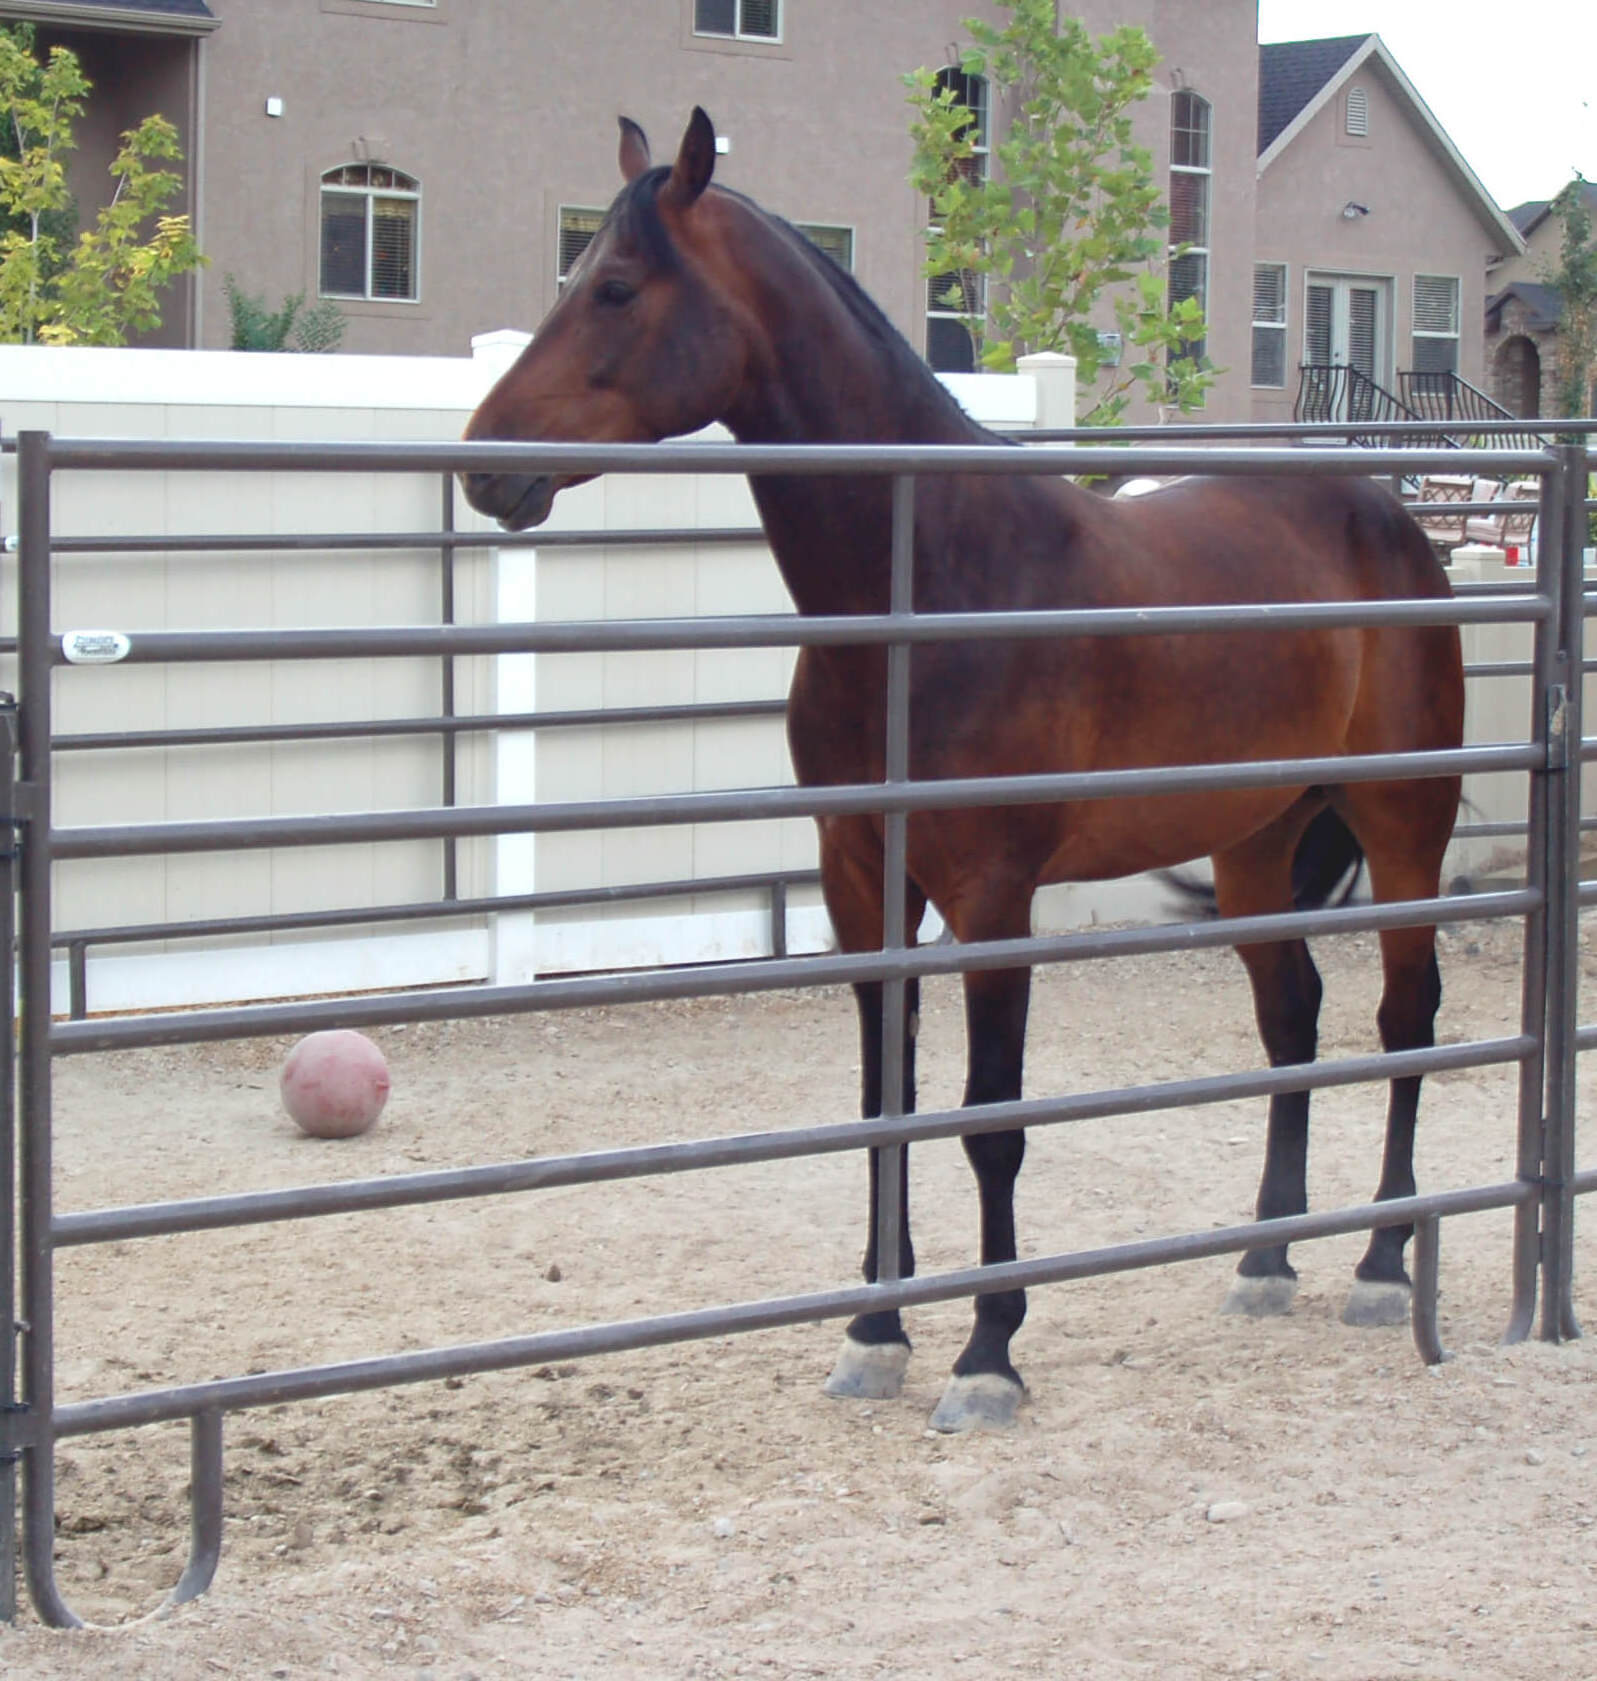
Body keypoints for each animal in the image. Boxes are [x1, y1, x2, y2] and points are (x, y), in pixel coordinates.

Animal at [460, 108, 1465, 1432]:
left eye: (616, 287)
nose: (483, 464)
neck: (932, 581)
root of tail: (1392, 519)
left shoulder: (991, 896)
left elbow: (992, 1120)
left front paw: (988, 1351)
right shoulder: (862, 883)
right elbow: (886, 1100)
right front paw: (874, 1332)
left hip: (1400, 827)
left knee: (1404, 1017)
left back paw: (1381, 1261)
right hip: (1255, 841)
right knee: (1289, 1015)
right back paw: (1263, 1259)